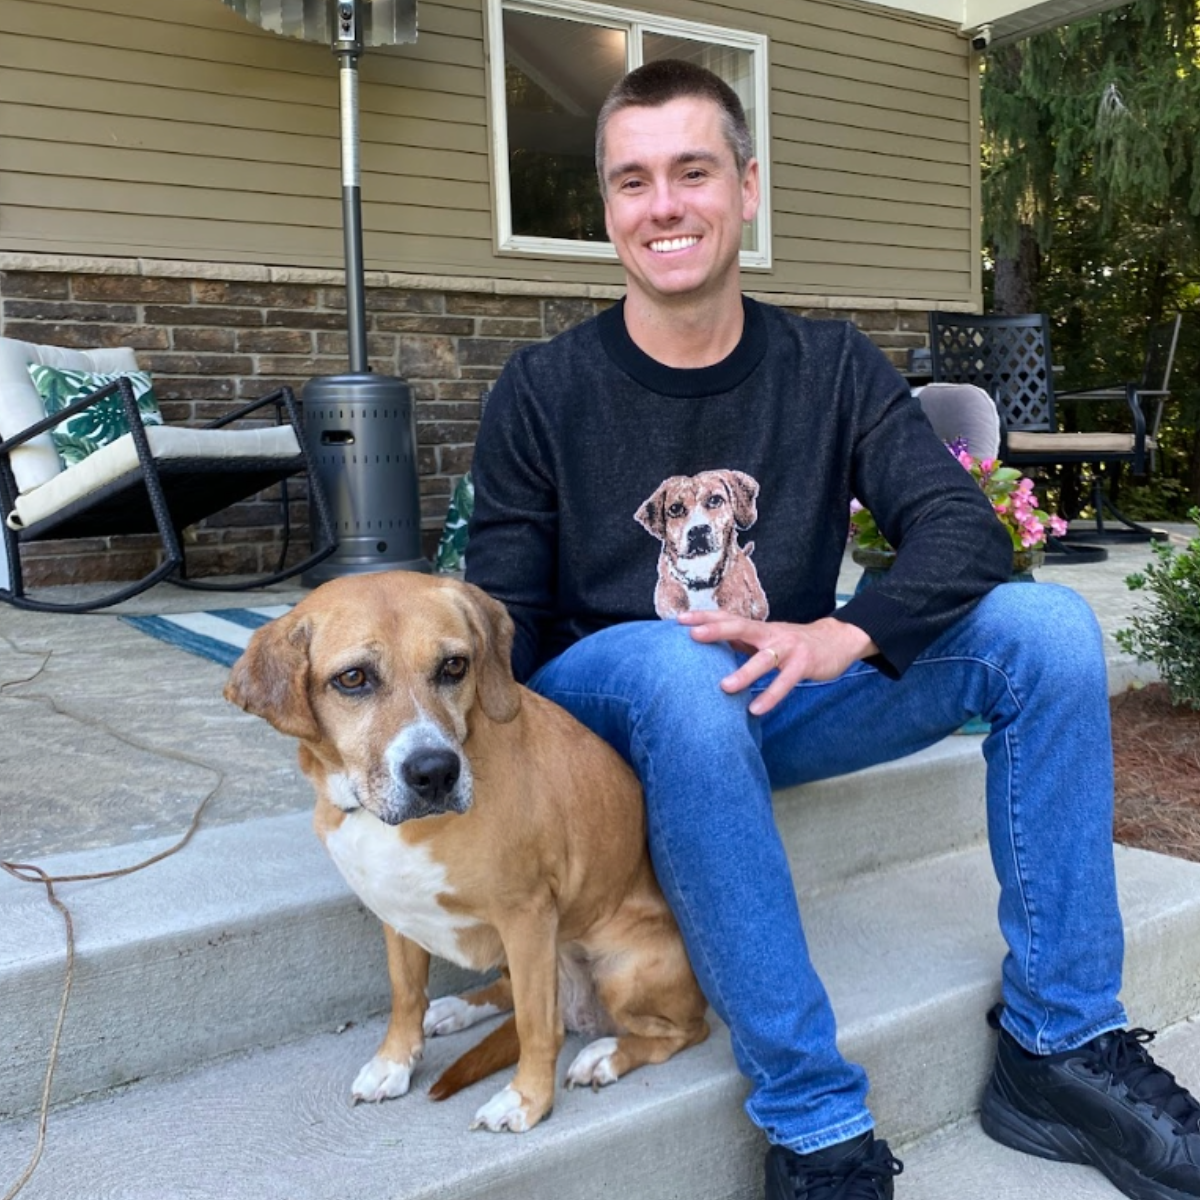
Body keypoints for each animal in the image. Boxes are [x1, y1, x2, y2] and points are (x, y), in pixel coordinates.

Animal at [224, 571, 705, 1132]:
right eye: (353, 678)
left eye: (454, 666)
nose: (435, 772)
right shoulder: (396, 912)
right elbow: (406, 994)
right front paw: (394, 1062)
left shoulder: (527, 917)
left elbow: (537, 1027)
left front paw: (526, 1100)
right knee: (508, 993)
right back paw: (459, 1009)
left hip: (620, 970)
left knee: (681, 1031)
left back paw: (604, 1056)